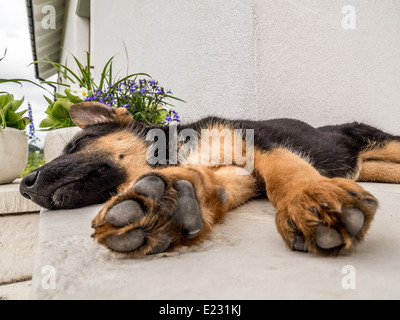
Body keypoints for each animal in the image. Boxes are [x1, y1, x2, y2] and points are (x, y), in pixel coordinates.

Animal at [20, 102, 400, 258]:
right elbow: (210, 184)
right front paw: (168, 205)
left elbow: (286, 174)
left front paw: (309, 196)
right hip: (372, 166)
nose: (25, 184)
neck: (177, 151)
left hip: (383, 143)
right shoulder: (240, 176)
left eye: (78, 144)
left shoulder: (261, 147)